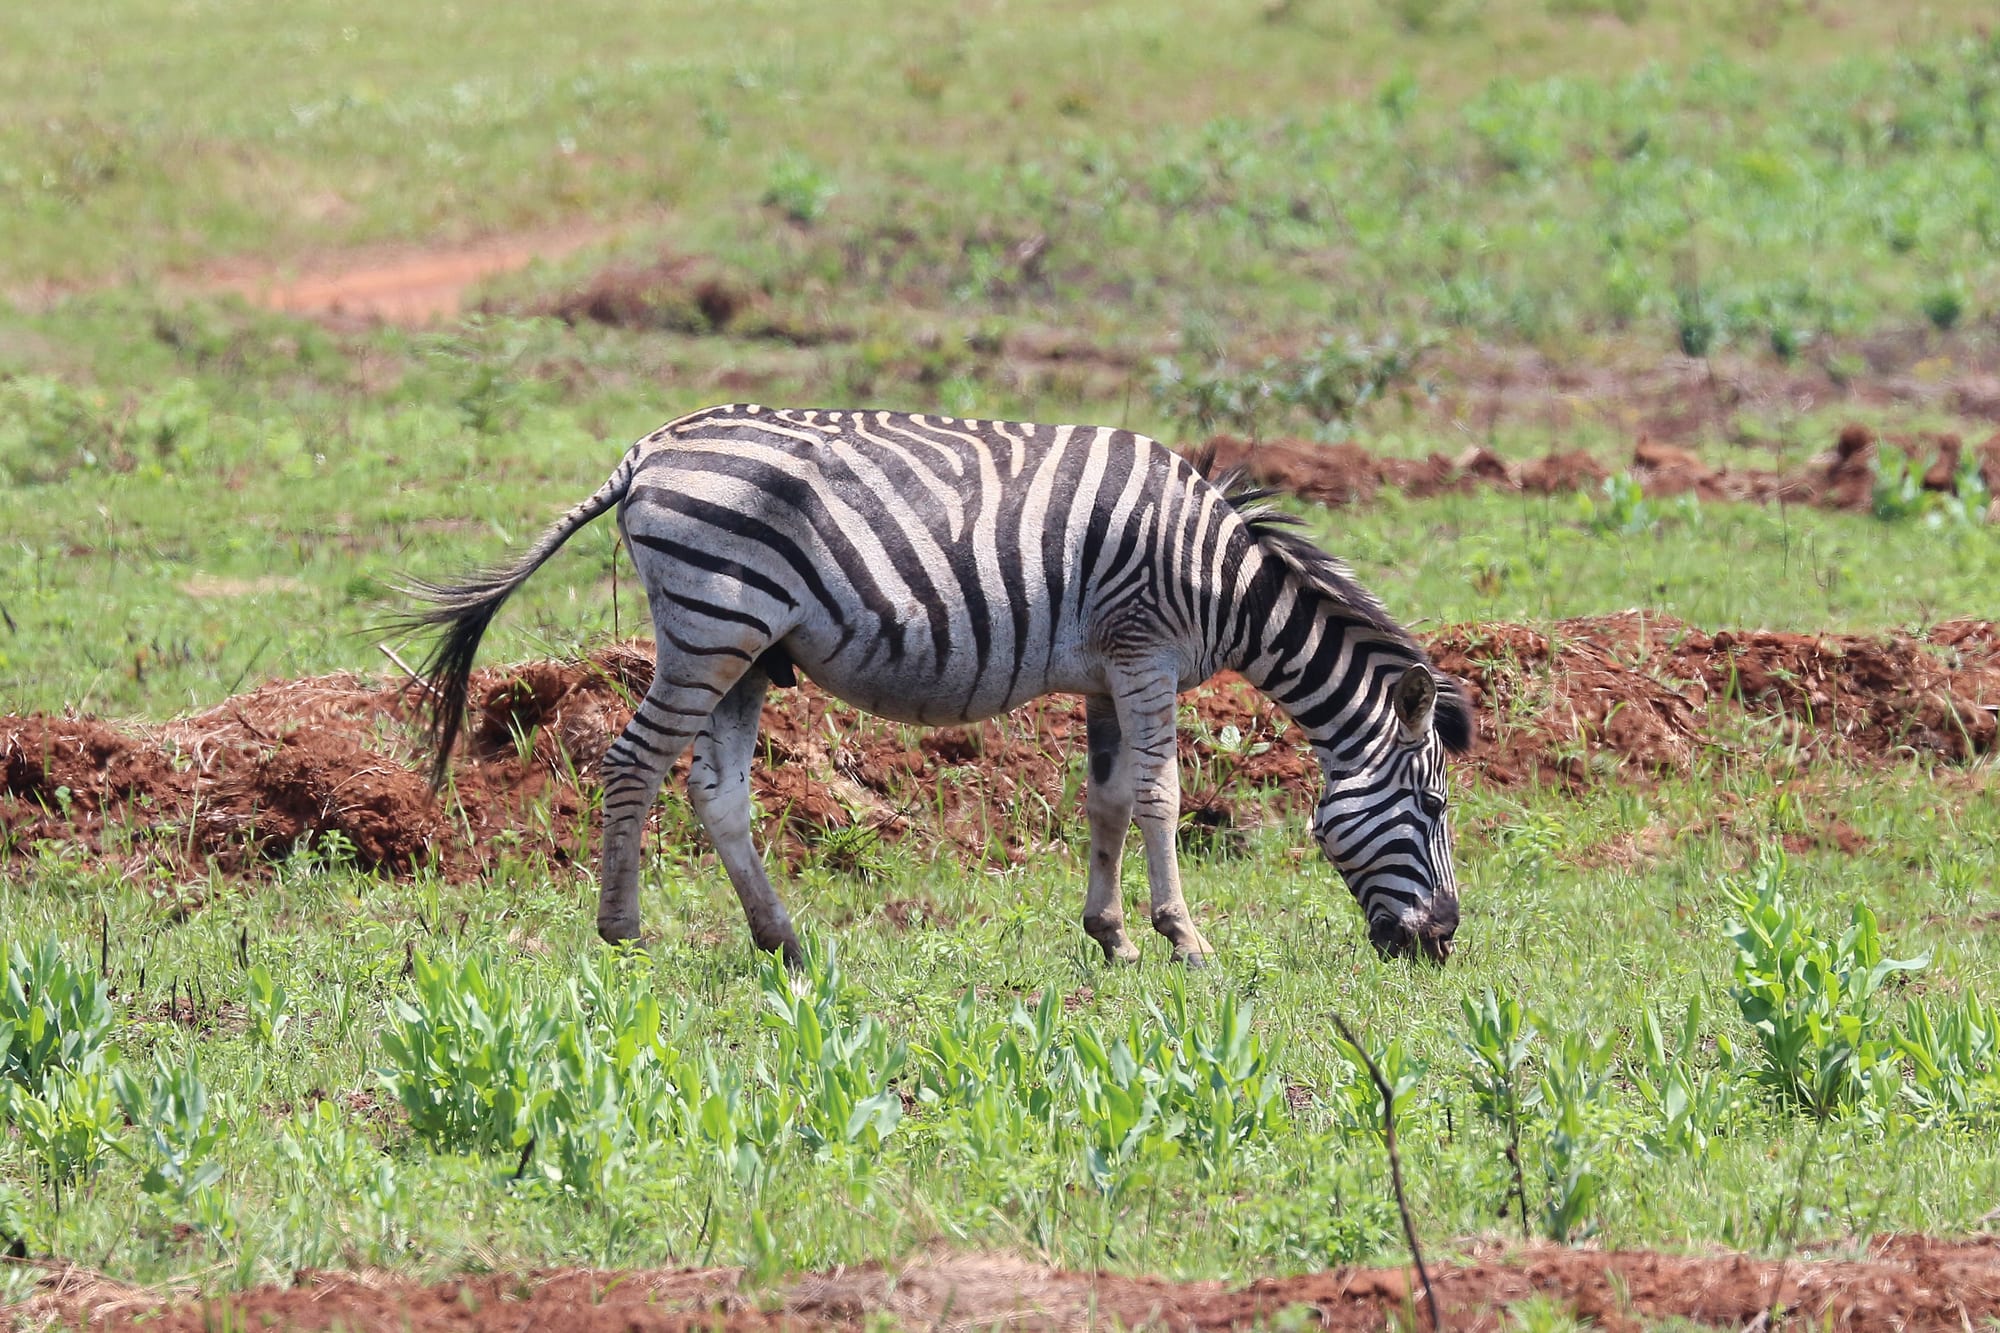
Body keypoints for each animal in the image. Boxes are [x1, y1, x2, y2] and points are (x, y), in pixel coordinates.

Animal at [403, 404, 1474, 965]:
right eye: (1432, 806)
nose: (1443, 941)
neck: (1219, 579)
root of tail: (646, 451)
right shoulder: (1145, 654)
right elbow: (1162, 795)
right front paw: (1184, 938)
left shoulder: (1104, 673)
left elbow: (1106, 800)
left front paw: (1110, 933)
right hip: (711, 629)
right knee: (631, 764)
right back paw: (623, 931)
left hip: (744, 649)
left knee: (716, 789)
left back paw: (783, 940)